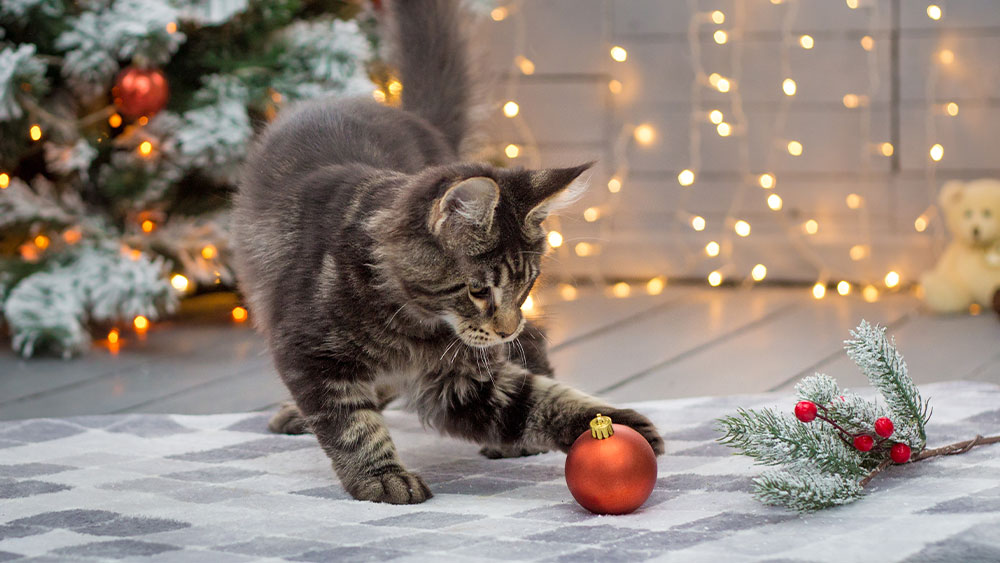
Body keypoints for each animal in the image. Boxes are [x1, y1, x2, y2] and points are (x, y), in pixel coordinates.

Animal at [233, 0, 664, 504]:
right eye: (478, 291)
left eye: (527, 284)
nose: (505, 327)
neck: (410, 326)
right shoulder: (308, 354)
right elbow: (352, 426)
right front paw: (381, 477)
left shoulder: (461, 380)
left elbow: (538, 399)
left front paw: (613, 425)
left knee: (535, 338)